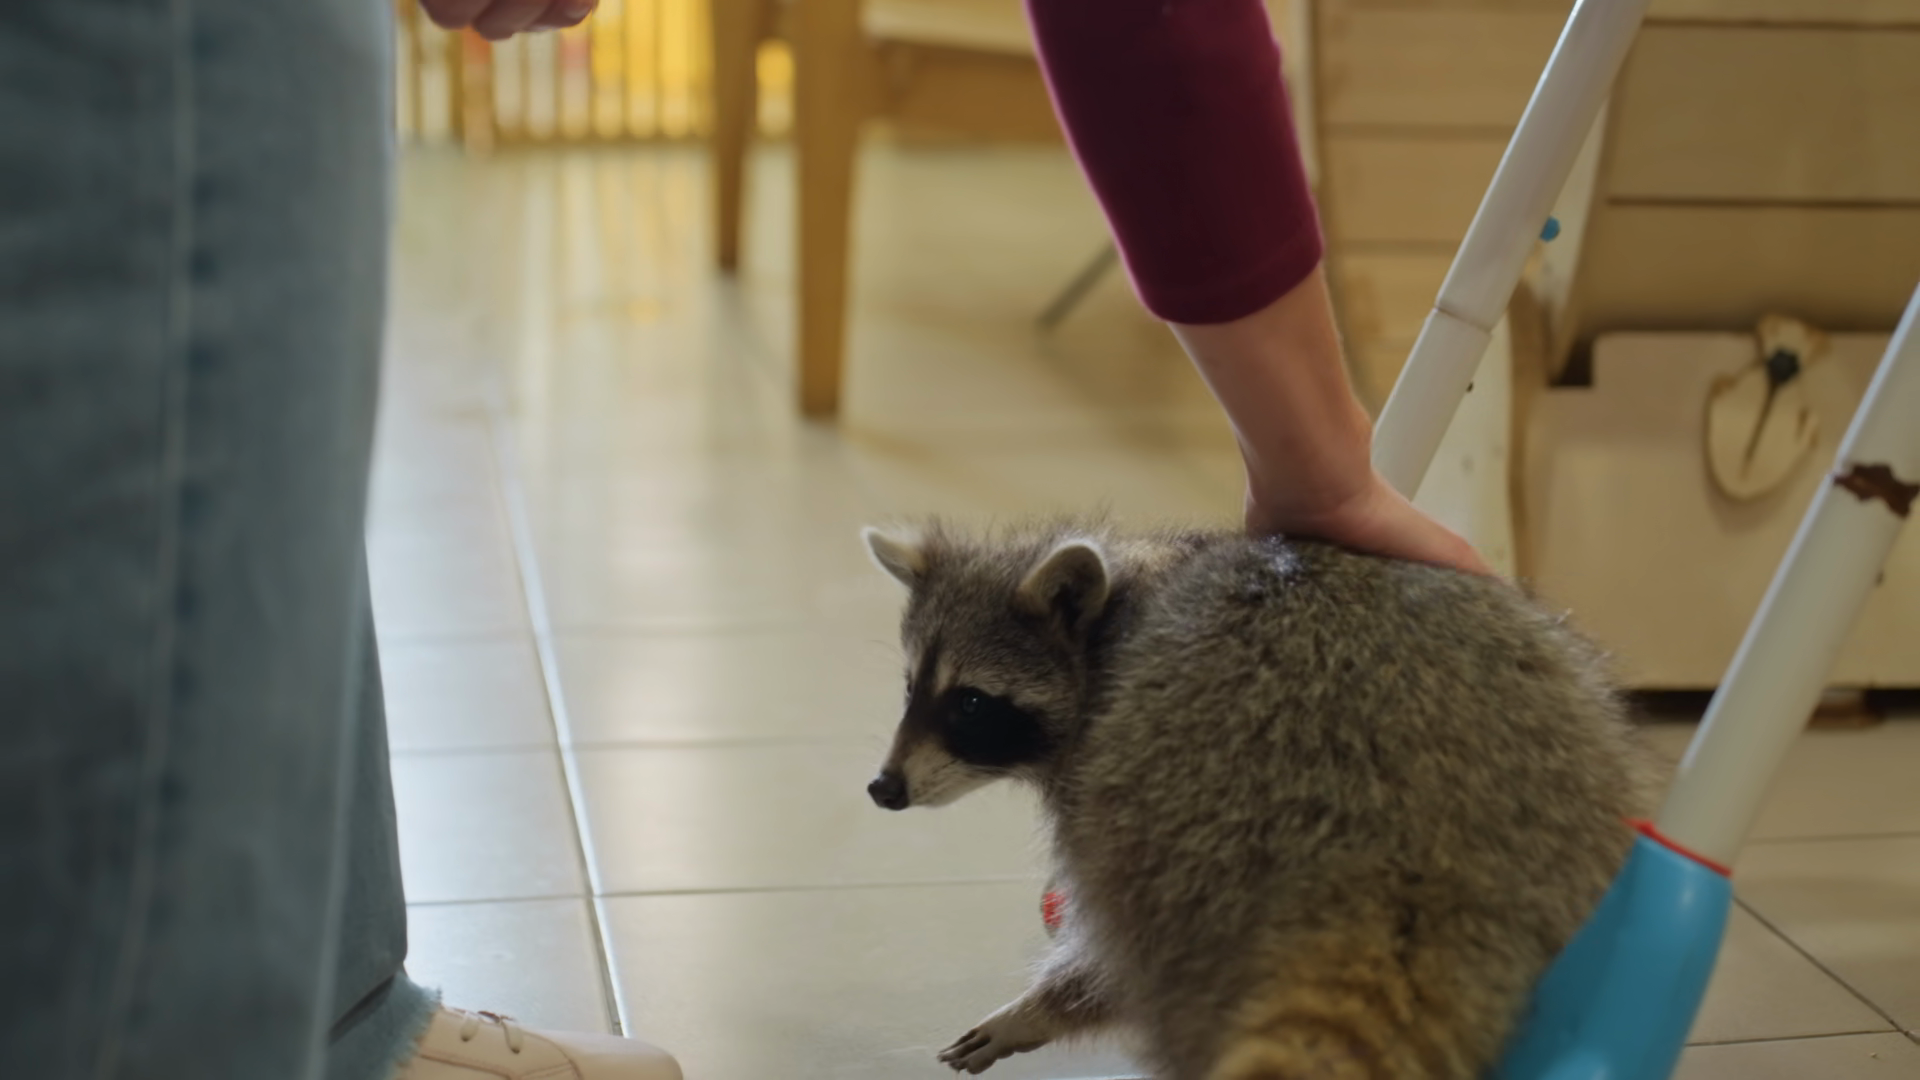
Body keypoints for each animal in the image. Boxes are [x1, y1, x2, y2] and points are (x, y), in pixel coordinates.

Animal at [860, 517, 1658, 1080]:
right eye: (911, 688)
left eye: (970, 704)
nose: (883, 788)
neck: (1116, 606)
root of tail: (1402, 845)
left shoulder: (1097, 759)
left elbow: (1101, 958)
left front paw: (1043, 1009)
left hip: (1167, 833)